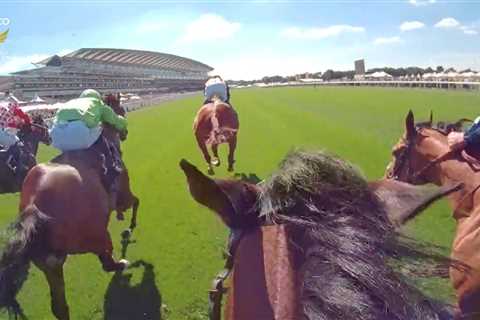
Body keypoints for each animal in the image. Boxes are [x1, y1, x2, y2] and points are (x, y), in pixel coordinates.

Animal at [0, 95, 133, 320]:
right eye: (121, 109)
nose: (125, 133)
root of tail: (34, 207)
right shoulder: (124, 191)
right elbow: (134, 202)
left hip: (50, 264)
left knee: (59, 307)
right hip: (96, 234)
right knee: (107, 262)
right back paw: (121, 263)